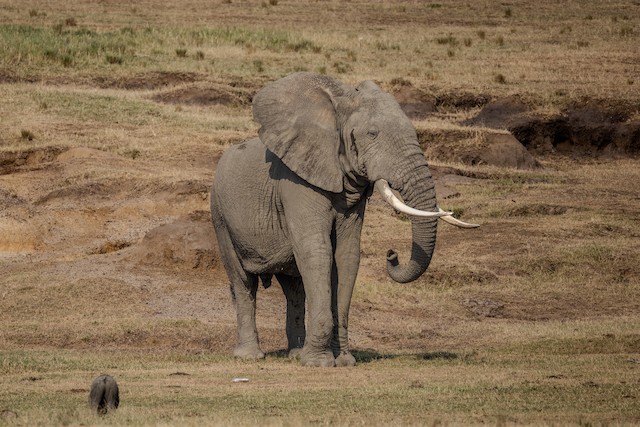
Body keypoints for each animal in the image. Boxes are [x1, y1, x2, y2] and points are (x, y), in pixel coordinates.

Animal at [211, 72, 478, 367]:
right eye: (372, 134)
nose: (392, 254)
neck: (338, 104)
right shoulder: (296, 180)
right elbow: (317, 252)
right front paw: (319, 364)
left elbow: (346, 256)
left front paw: (343, 361)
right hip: (220, 216)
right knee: (244, 282)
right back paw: (250, 357)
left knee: (294, 288)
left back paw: (296, 354)